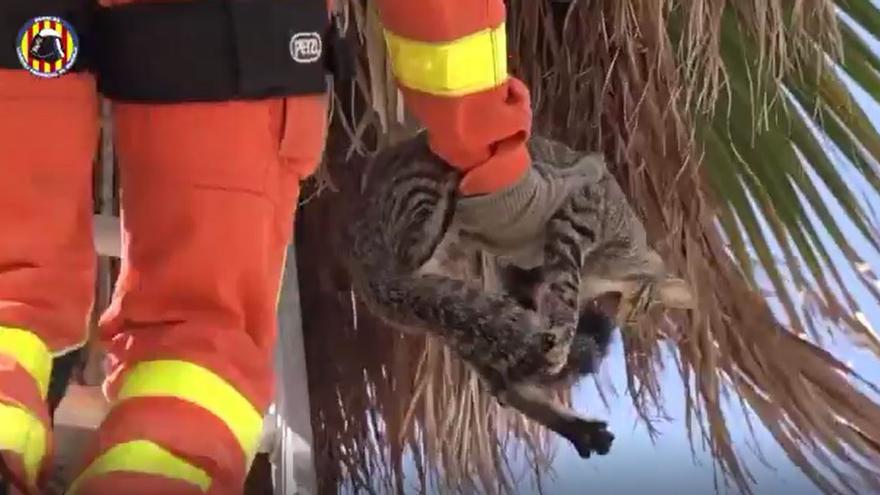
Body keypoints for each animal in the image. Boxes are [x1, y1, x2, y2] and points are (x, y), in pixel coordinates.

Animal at [344, 133, 696, 462]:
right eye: (639, 306)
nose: (628, 320)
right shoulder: (573, 225)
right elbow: (564, 292)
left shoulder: (518, 281)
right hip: (420, 202)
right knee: (419, 246)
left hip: (451, 307)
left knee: (501, 378)